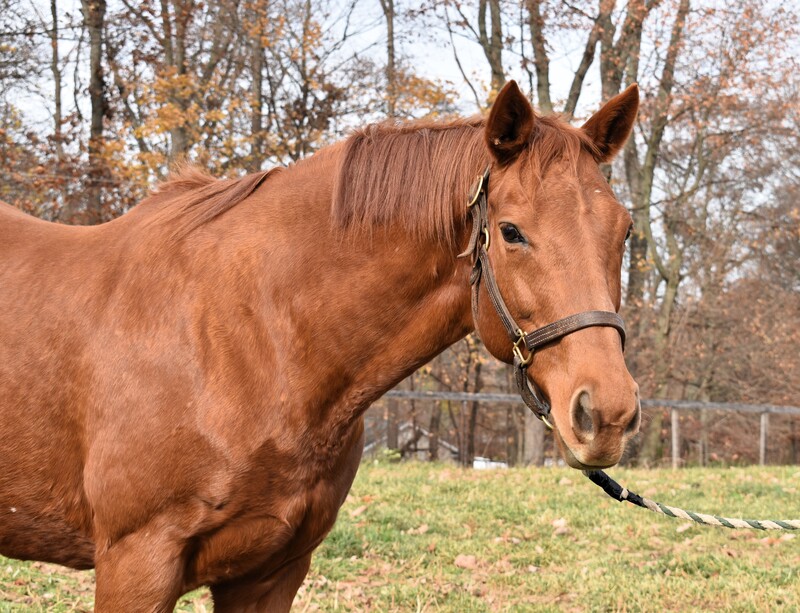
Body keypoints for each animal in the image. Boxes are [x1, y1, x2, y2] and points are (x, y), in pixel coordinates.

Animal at [0, 82, 636, 612]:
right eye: (510, 232)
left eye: (625, 230)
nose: (607, 412)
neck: (247, 341)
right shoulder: (137, 563)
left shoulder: (269, 574)